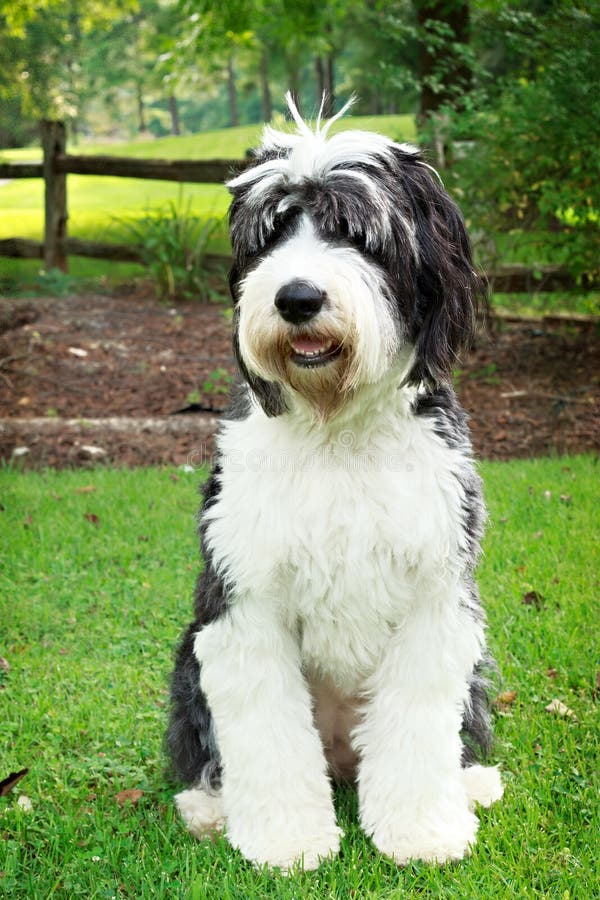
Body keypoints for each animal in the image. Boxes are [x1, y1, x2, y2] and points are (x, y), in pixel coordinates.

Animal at [166, 98, 504, 872]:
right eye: (271, 232)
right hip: (189, 659)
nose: (297, 297)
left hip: (473, 658)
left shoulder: (437, 597)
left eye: (356, 233)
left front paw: (420, 830)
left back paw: (469, 784)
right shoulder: (243, 602)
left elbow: (418, 723)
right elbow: (266, 734)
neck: (337, 431)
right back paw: (208, 806)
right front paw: (285, 840)